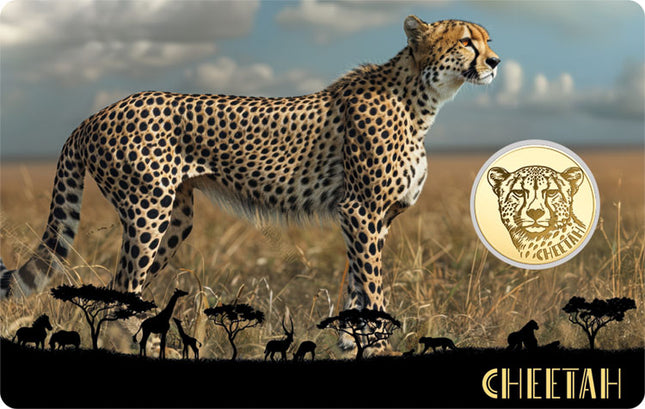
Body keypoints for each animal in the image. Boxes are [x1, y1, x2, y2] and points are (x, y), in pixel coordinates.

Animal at [2, 15, 499, 352]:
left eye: (488, 40)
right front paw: (376, 347)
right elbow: (373, 290)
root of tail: (96, 113)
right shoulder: (362, 211)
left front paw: (352, 346)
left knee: (123, 290)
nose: (495, 62)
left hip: (174, 217)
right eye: (466, 41)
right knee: (121, 288)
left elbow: (359, 286)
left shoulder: (371, 218)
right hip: (148, 211)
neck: (422, 99)